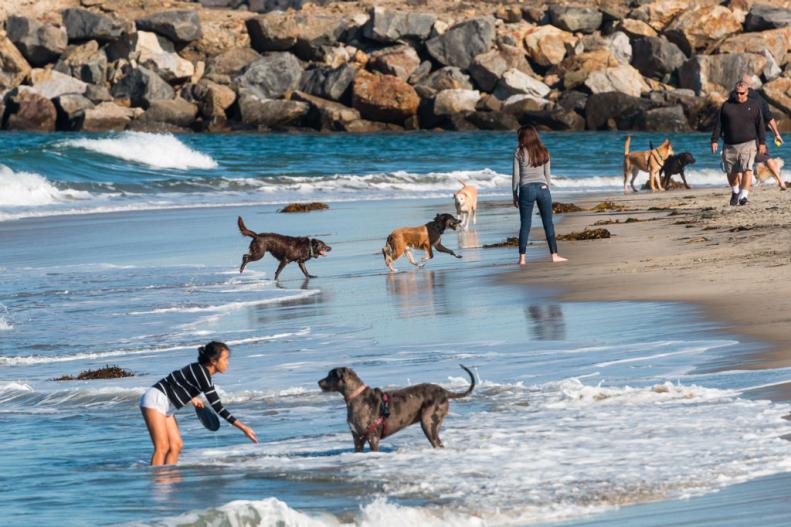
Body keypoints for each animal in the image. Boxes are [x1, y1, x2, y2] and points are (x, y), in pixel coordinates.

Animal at [318, 366, 476, 452]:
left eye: (331, 375)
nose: (318, 381)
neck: (355, 396)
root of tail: (444, 392)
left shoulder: (372, 437)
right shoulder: (358, 438)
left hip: (428, 422)